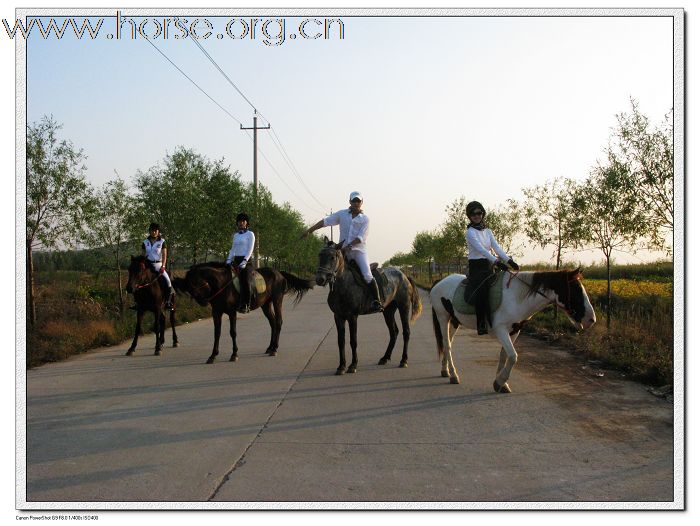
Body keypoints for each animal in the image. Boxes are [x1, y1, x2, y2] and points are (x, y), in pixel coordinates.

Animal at [174, 262, 316, 366]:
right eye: (189, 288)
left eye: (196, 283)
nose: (202, 302)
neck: (222, 284)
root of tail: (280, 273)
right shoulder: (216, 312)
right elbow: (217, 333)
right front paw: (213, 355)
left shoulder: (232, 311)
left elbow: (233, 332)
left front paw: (234, 354)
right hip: (265, 304)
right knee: (272, 323)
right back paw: (270, 347)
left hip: (277, 299)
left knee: (278, 321)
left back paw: (275, 348)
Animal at [316, 241, 424, 378]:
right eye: (320, 255)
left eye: (332, 257)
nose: (320, 279)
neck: (343, 285)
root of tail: (404, 275)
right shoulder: (338, 316)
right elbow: (341, 341)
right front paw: (341, 366)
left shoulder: (352, 316)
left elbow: (353, 341)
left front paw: (353, 365)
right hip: (388, 311)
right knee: (394, 332)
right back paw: (385, 358)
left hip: (403, 307)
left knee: (406, 332)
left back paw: (403, 360)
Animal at [430, 270, 592, 394]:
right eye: (576, 290)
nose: (591, 319)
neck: (517, 298)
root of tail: (440, 281)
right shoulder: (501, 330)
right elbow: (513, 356)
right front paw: (500, 381)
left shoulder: (514, 332)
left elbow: (504, 355)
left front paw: (501, 384)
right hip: (443, 317)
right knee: (447, 345)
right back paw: (453, 376)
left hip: (454, 320)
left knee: (447, 343)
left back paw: (445, 371)